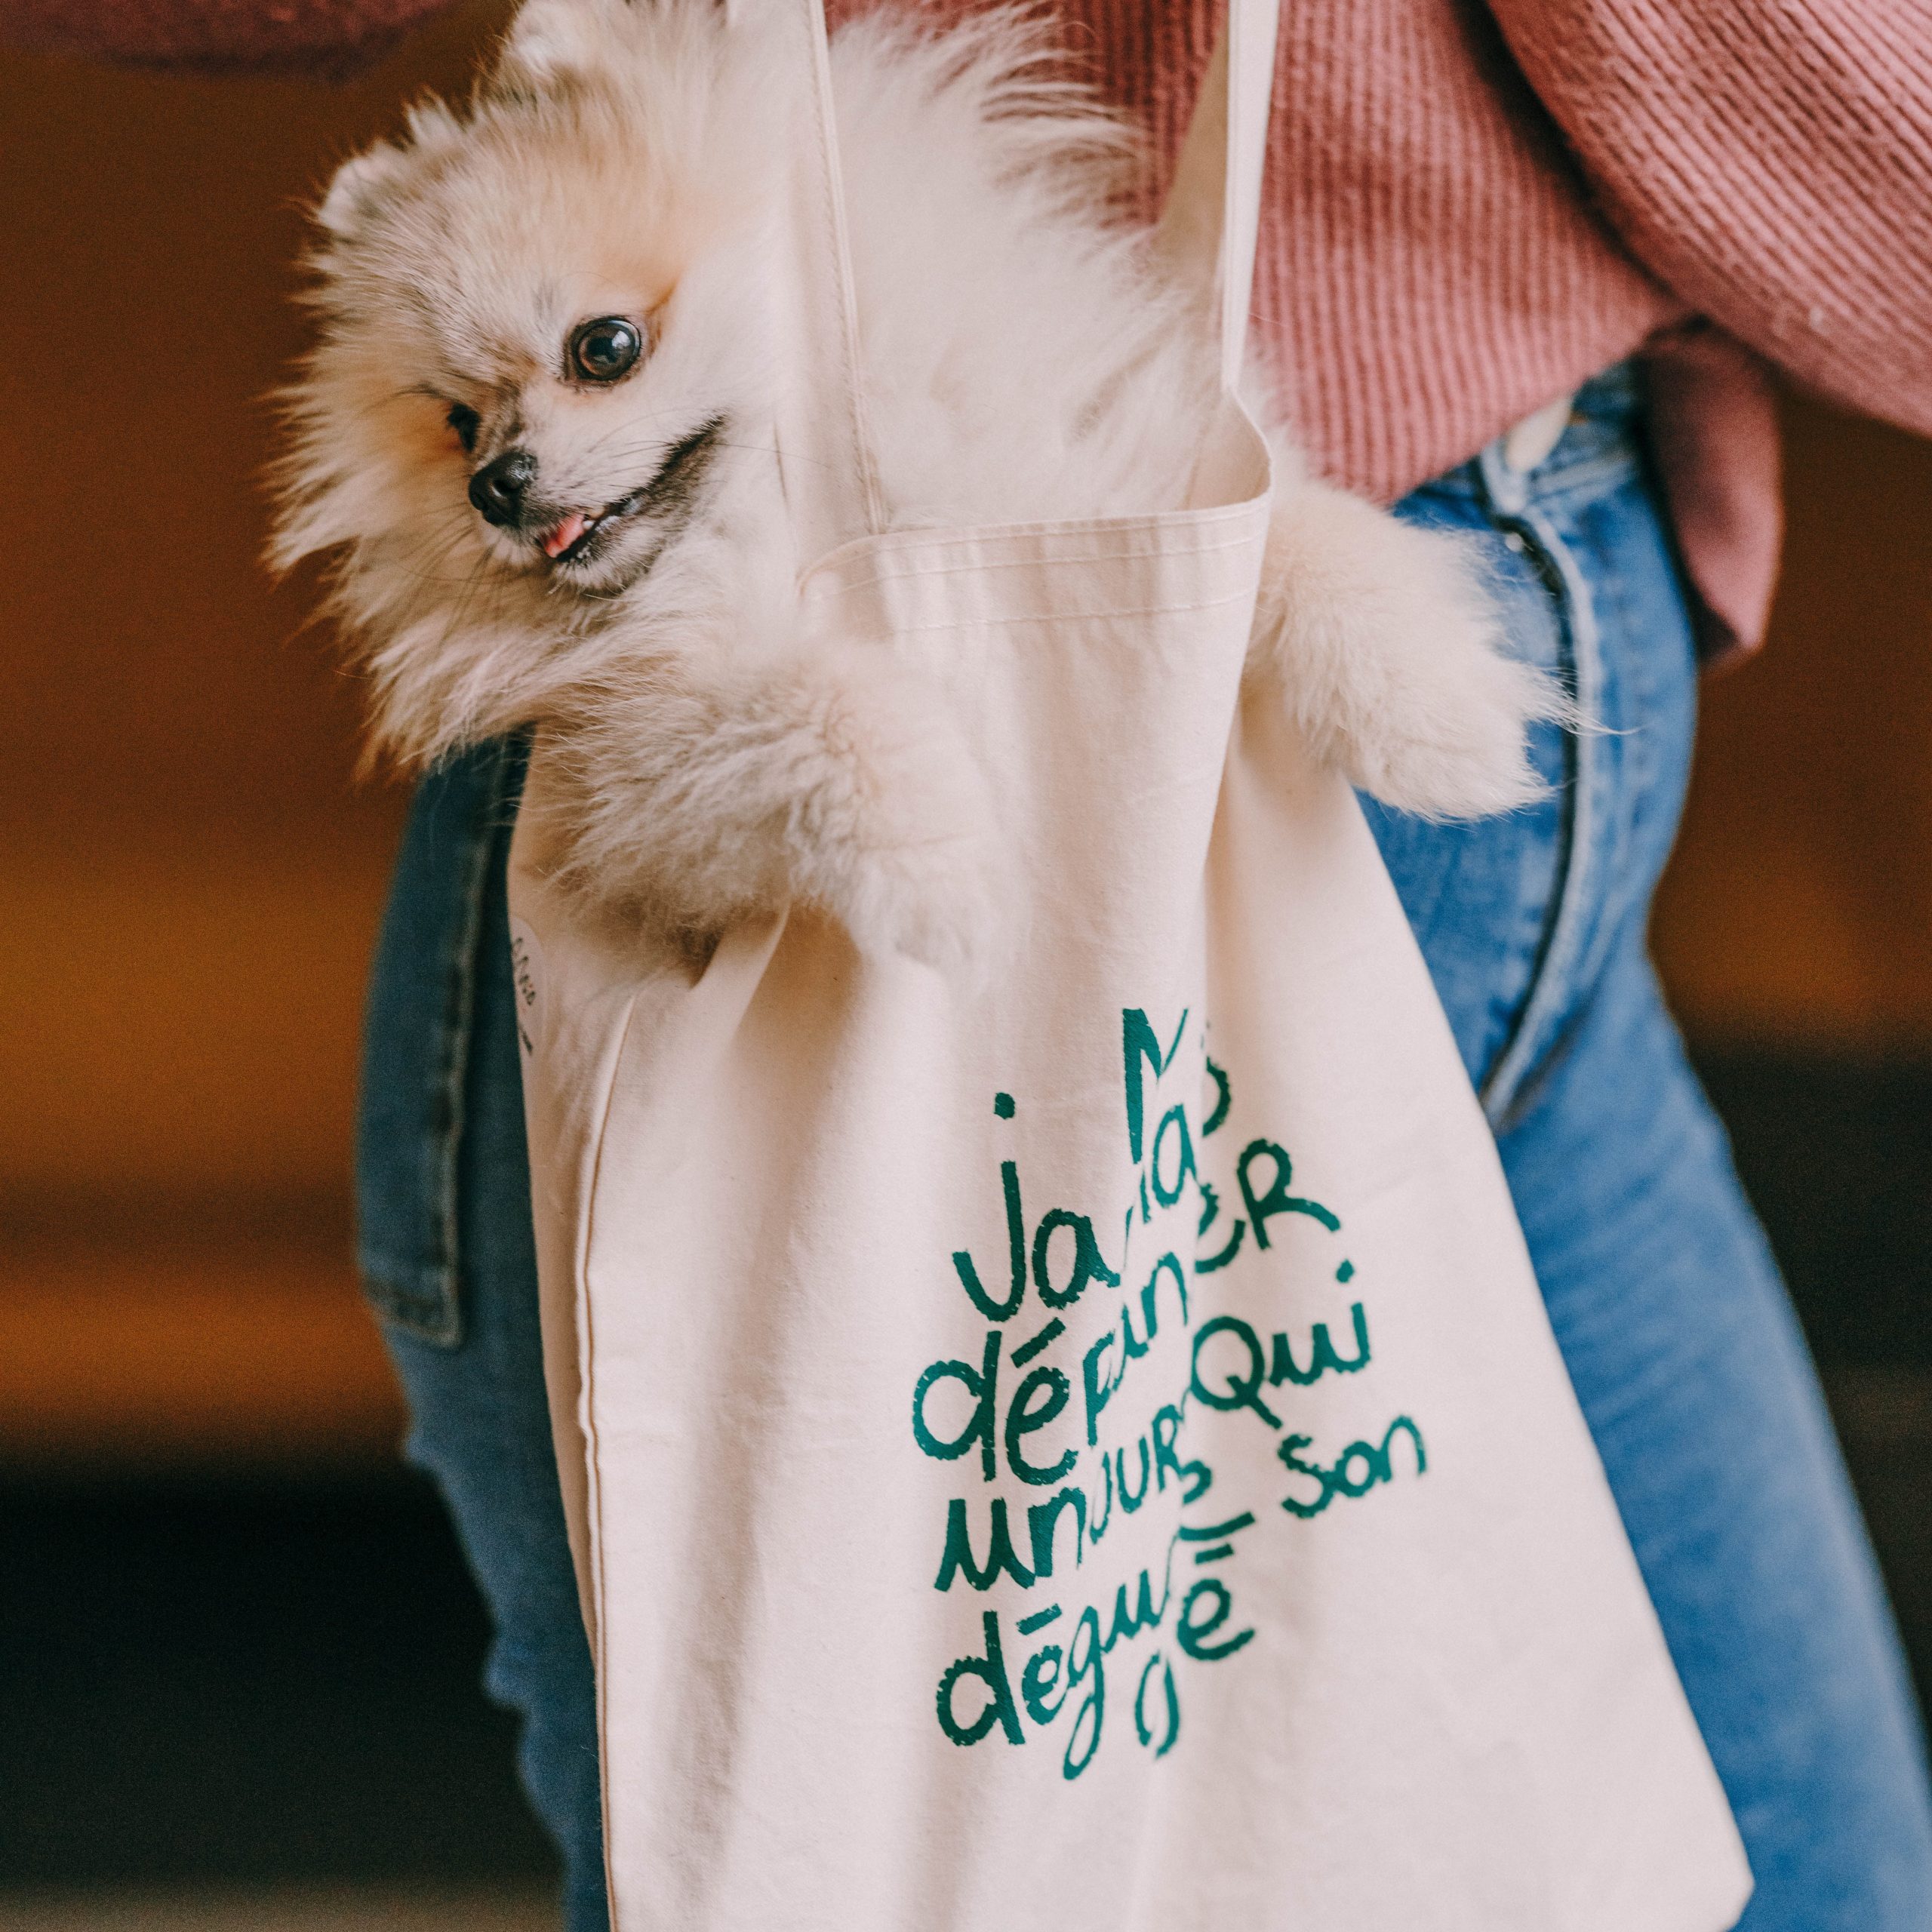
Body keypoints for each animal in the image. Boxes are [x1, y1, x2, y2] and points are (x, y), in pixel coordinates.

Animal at [280, 0, 1561, 974]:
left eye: (605, 348)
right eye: (456, 425)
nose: (496, 486)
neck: (770, 523)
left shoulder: (1115, 473)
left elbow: (1306, 536)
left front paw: (1440, 717)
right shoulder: (636, 765)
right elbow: (825, 710)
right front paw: (952, 878)